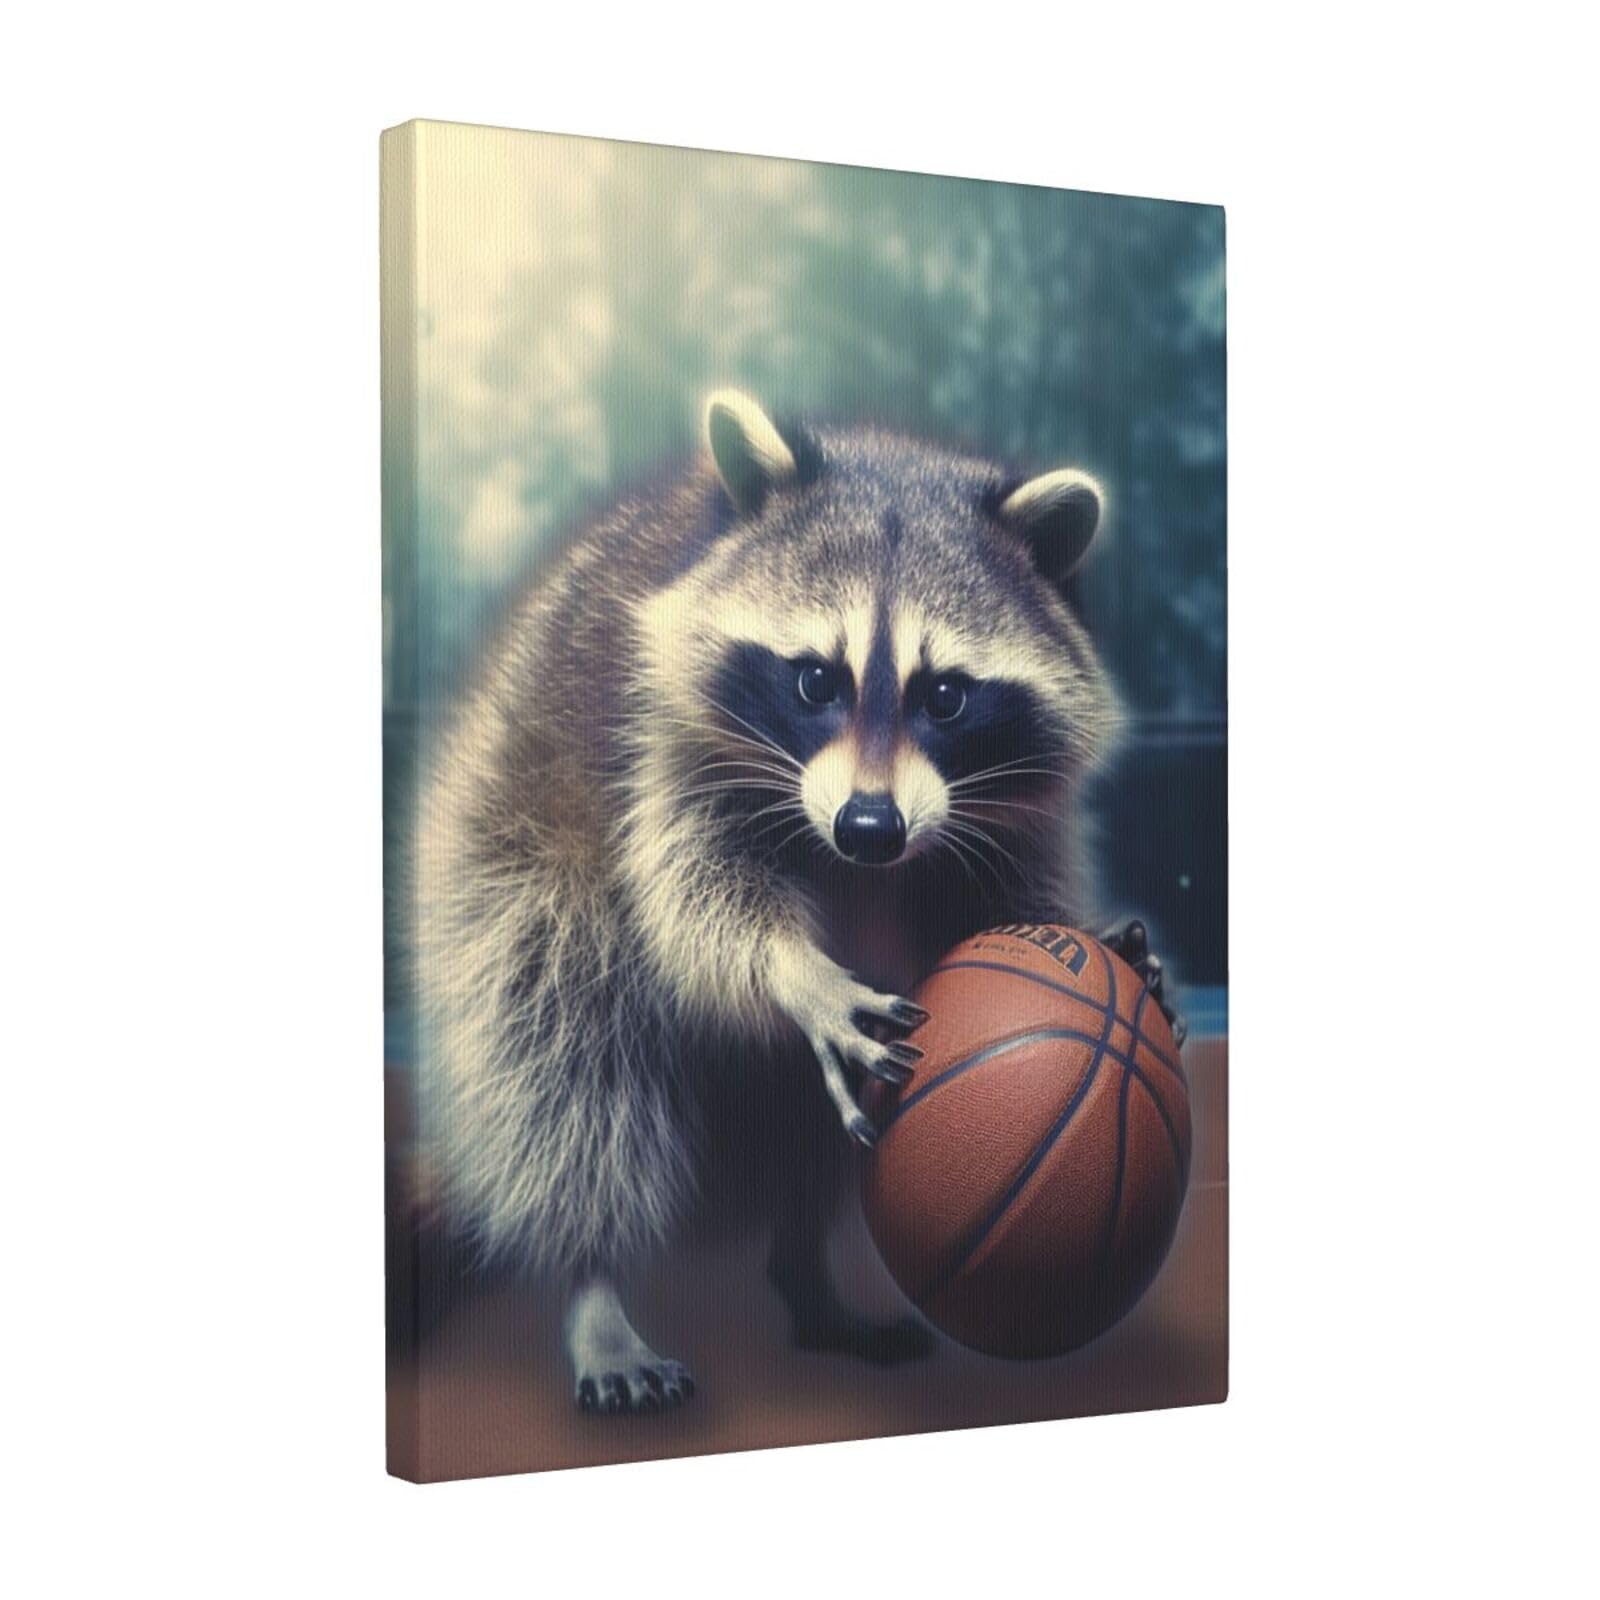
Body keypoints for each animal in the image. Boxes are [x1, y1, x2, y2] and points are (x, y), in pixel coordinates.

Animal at [413, 390, 1180, 1412]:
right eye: (817, 678)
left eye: (947, 697)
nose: (869, 826)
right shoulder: (659, 740)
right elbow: (695, 895)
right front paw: (794, 971)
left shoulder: (1010, 811)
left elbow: (1003, 894)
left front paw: (1097, 941)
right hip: (507, 866)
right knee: (566, 1061)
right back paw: (595, 1281)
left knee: (804, 1138)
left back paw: (807, 1276)